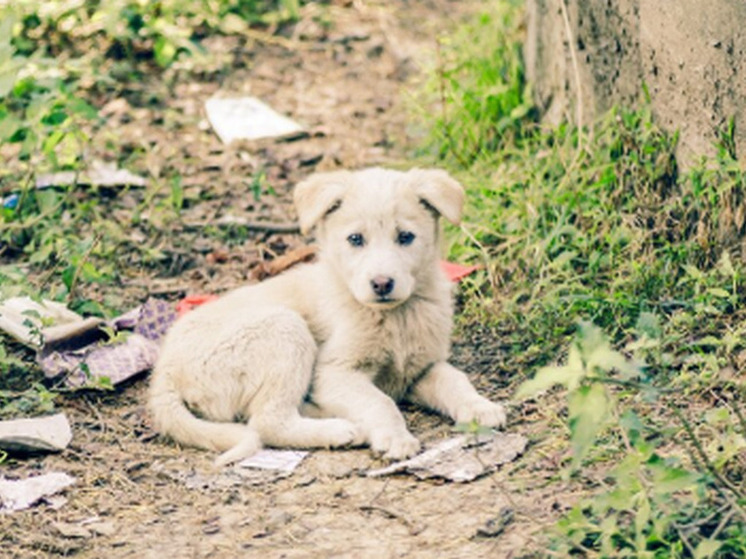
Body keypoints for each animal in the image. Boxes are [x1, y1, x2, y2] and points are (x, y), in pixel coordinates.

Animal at [147, 168, 506, 466]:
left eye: (405, 237)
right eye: (355, 239)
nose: (381, 284)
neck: (394, 317)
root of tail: (164, 373)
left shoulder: (421, 369)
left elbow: (456, 381)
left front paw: (480, 407)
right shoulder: (335, 371)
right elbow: (379, 401)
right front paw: (396, 437)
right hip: (285, 329)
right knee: (267, 421)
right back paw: (339, 430)